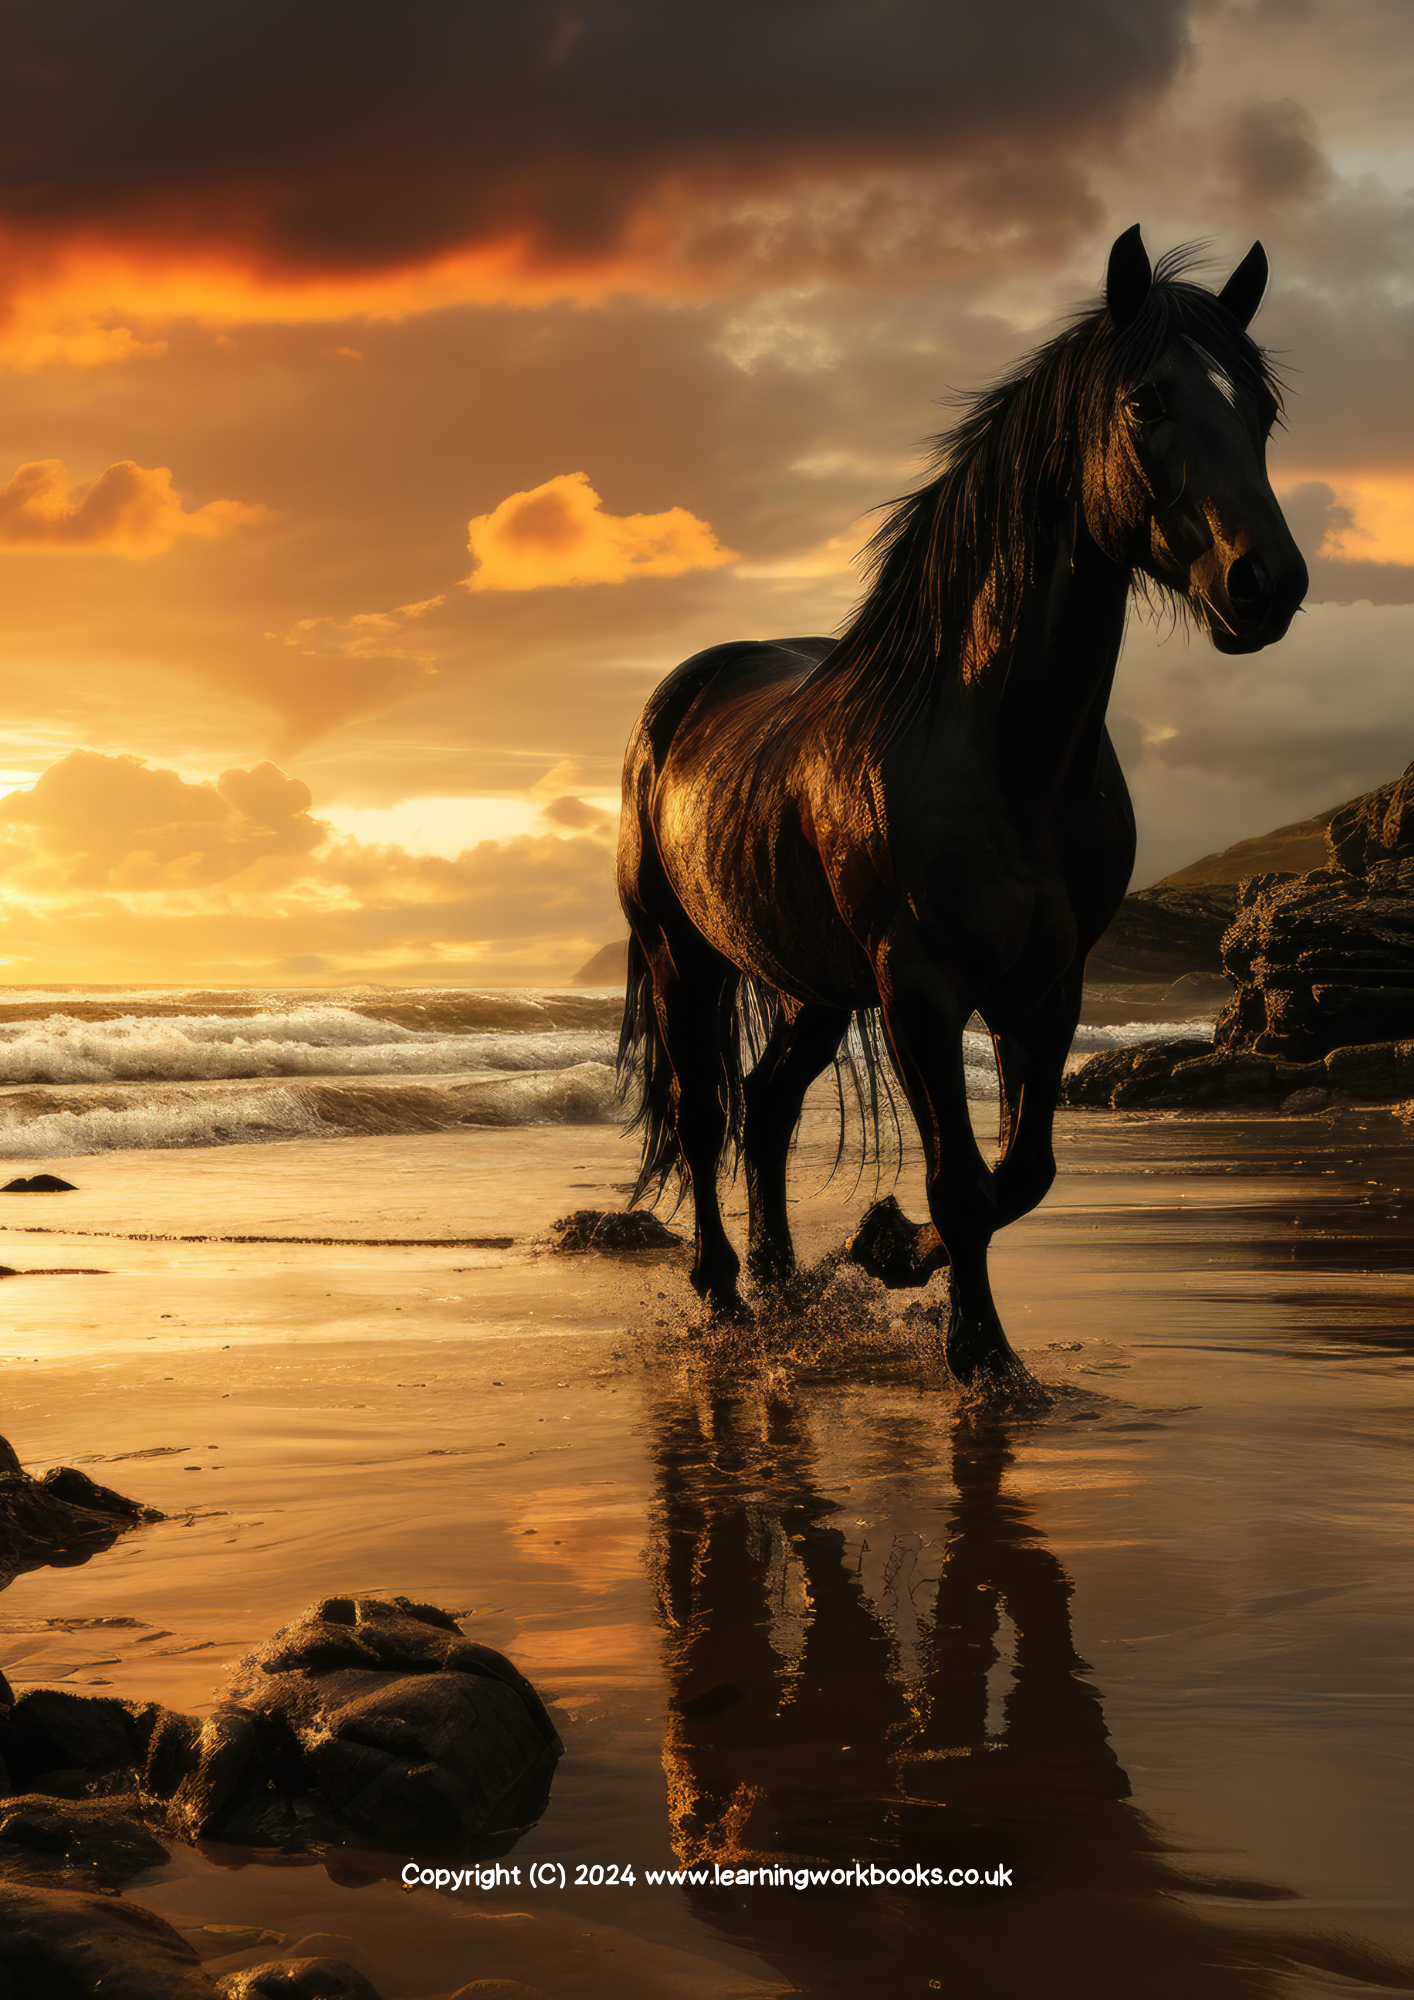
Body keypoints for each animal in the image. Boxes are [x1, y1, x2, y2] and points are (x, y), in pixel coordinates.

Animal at [616, 227, 1308, 1387]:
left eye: (1258, 411)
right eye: (1145, 401)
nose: (1268, 583)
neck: (998, 755)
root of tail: (681, 694)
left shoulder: (1049, 985)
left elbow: (1021, 1173)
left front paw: (887, 1248)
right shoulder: (922, 987)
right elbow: (963, 1182)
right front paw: (977, 1350)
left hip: (812, 984)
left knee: (767, 1107)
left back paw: (787, 1282)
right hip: (686, 956)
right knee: (708, 1114)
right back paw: (723, 1290)